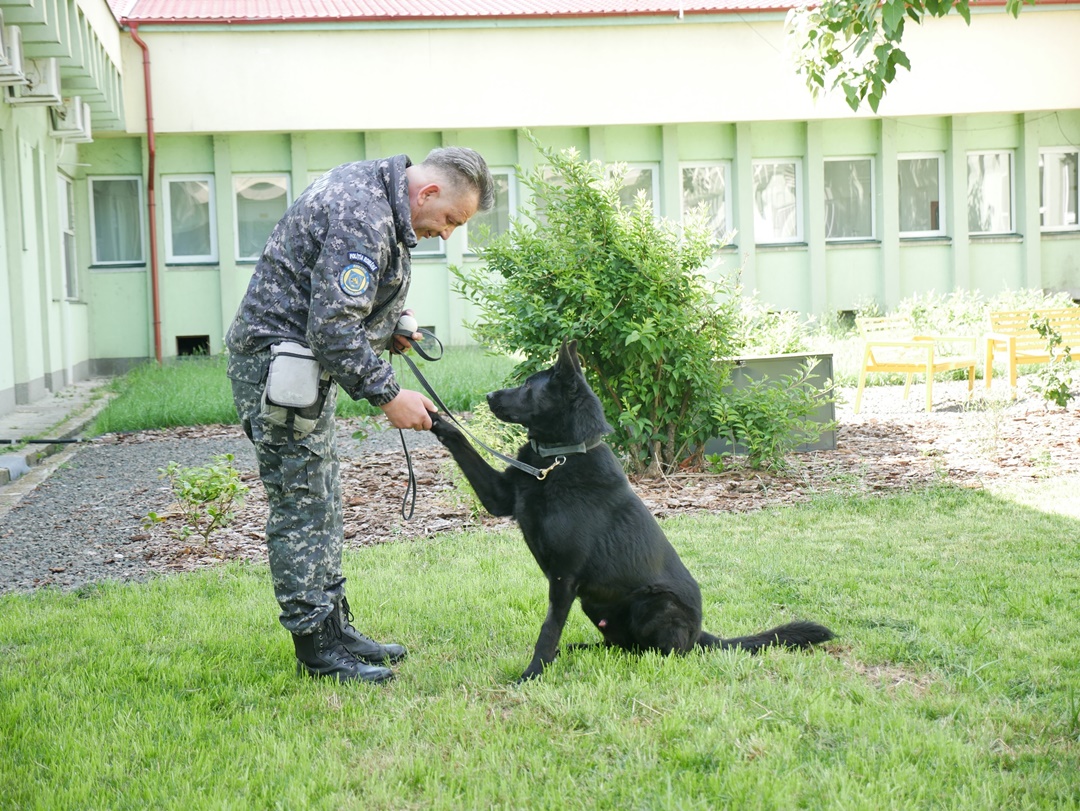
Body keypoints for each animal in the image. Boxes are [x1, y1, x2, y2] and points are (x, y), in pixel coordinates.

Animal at [430, 340, 834, 680]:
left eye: (529, 386)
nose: (488, 395)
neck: (561, 458)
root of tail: (701, 633)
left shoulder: (564, 577)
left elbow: (548, 628)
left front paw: (532, 673)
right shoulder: (499, 498)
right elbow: (461, 441)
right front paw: (432, 416)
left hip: (655, 603)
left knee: (660, 652)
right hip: (595, 607)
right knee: (618, 646)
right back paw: (577, 650)